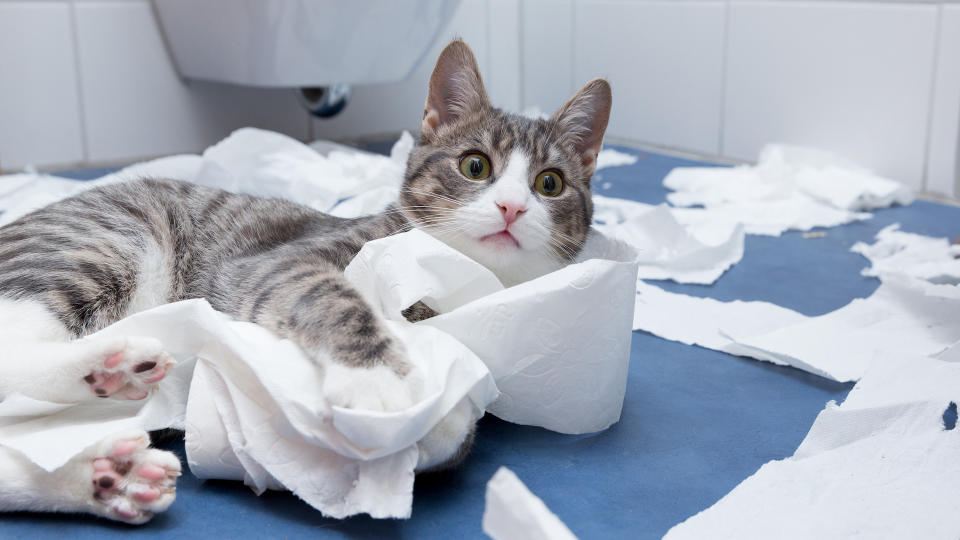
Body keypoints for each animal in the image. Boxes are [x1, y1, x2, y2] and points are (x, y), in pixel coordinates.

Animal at [0, 40, 612, 524]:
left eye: (550, 183)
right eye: (475, 166)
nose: (512, 207)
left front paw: (443, 423)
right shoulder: (274, 263)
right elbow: (332, 297)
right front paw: (379, 380)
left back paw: (107, 471)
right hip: (104, 241)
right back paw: (114, 361)